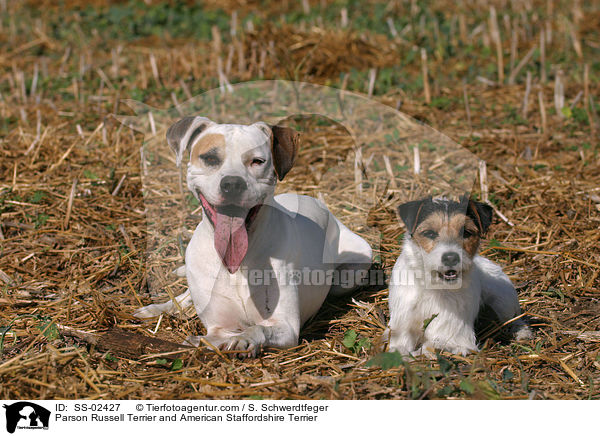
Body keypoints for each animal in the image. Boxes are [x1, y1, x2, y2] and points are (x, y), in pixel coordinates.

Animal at [134, 116, 372, 358]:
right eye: (210, 158)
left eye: (257, 161)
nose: (232, 184)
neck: (237, 265)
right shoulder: (219, 325)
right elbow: (212, 334)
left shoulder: (286, 327)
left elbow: (257, 329)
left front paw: (243, 339)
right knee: (184, 296)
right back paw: (156, 308)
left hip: (352, 271)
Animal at [386, 196, 532, 356]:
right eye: (429, 233)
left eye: (466, 232)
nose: (451, 258)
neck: (434, 286)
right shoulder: (403, 323)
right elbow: (400, 346)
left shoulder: (452, 334)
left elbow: (431, 346)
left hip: (504, 301)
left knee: (515, 318)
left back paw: (522, 333)